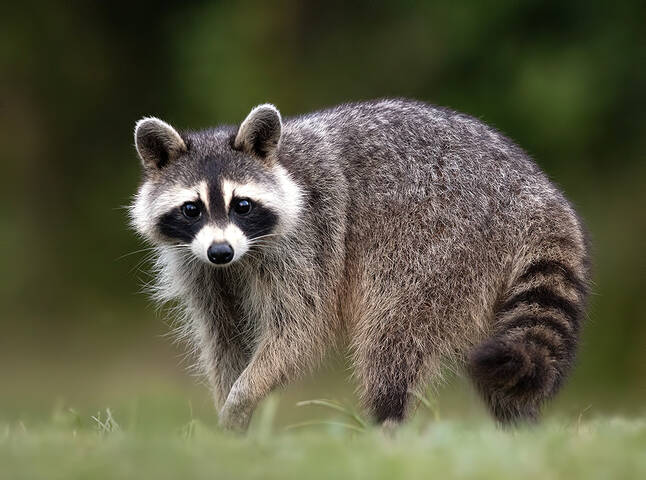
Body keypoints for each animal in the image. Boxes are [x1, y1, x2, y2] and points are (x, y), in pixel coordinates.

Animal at [130, 99, 590, 431]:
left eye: (241, 205)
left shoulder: (307, 242)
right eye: (191, 209)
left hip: (438, 245)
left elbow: (300, 329)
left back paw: (387, 423)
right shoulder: (199, 267)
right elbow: (225, 339)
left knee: (394, 336)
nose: (221, 251)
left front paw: (243, 398)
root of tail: (539, 196)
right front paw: (233, 418)